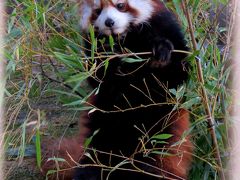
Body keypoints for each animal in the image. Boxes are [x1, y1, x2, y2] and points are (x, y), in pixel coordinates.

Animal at [41, 0, 193, 179]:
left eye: (120, 5)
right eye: (98, 11)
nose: (109, 22)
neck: (125, 39)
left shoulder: (168, 31)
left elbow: (177, 72)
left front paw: (161, 49)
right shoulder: (92, 49)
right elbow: (100, 78)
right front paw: (109, 55)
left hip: (160, 144)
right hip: (98, 139)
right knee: (92, 168)